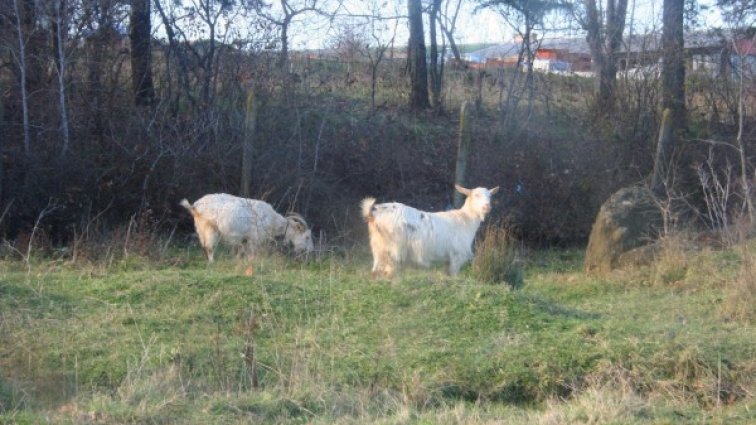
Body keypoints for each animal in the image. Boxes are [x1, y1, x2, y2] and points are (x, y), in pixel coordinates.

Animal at [180, 193, 314, 262]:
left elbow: (242, 251)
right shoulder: (254, 238)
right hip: (210, 228)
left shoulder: (245, 239)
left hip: (200, 228)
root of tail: (195, 206)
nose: (310, 251)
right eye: (307, 237)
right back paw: (212, 262)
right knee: (209, 247)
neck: (272, 220)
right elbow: (252, 253)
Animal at [362, 184, 500, 276]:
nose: (487, 206)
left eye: (490, 196)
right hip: (393, 247)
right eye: (476, 195)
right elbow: (454, 275)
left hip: (377, 245)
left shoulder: (448, 259)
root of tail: (373, 212)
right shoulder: (456, 256)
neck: (465, 219)